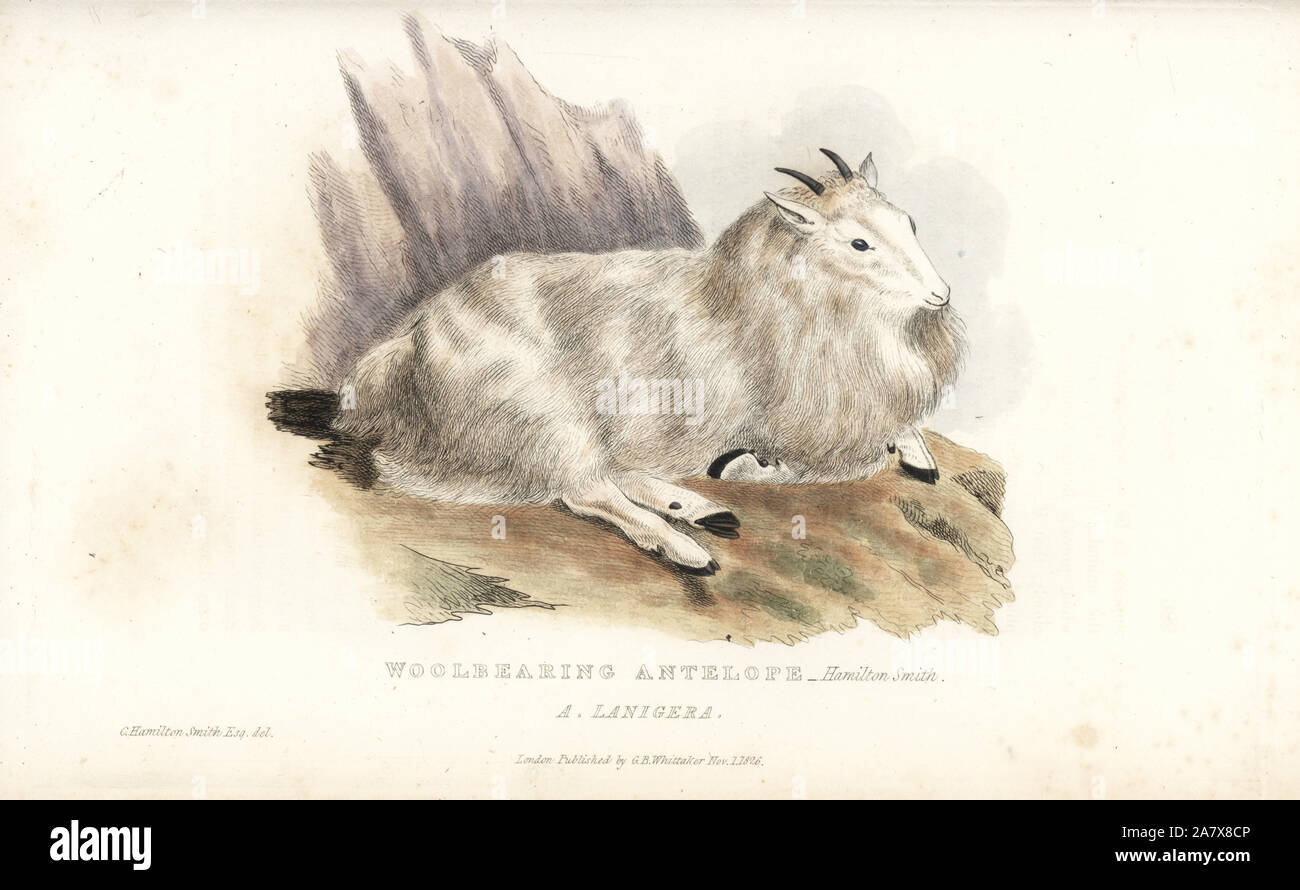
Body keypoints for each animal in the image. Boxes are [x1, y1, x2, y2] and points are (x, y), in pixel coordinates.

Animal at [316, 149, 965, 573]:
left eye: (908, 222)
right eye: (859, 242)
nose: (940, 295)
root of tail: (405, 350)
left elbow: (896, 436)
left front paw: (919, 457)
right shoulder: (806, 427)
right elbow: (847, 463)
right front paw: (744, 467)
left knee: (610, 477)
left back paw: (703, 511)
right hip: (551, 421)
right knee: (584, 491)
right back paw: (690, 546)